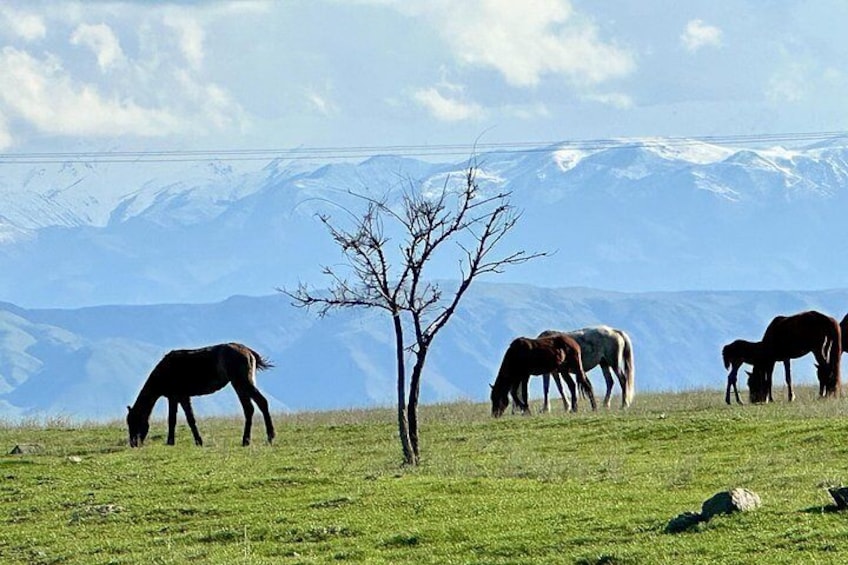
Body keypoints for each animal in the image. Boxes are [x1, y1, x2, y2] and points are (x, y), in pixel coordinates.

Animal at [126, 342, 275, 447]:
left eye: (134, 422)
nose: (133, 443)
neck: (164, 372)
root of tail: (248, 351)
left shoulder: (178, 396)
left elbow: (180, 419)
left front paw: (178, 441)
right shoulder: (178, 397)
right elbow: (181, 419)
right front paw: (191, 441)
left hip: (242, 382)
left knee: (261, 402)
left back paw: (269, 437)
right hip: (240, 385)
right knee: (249, 409)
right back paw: (246, 440)